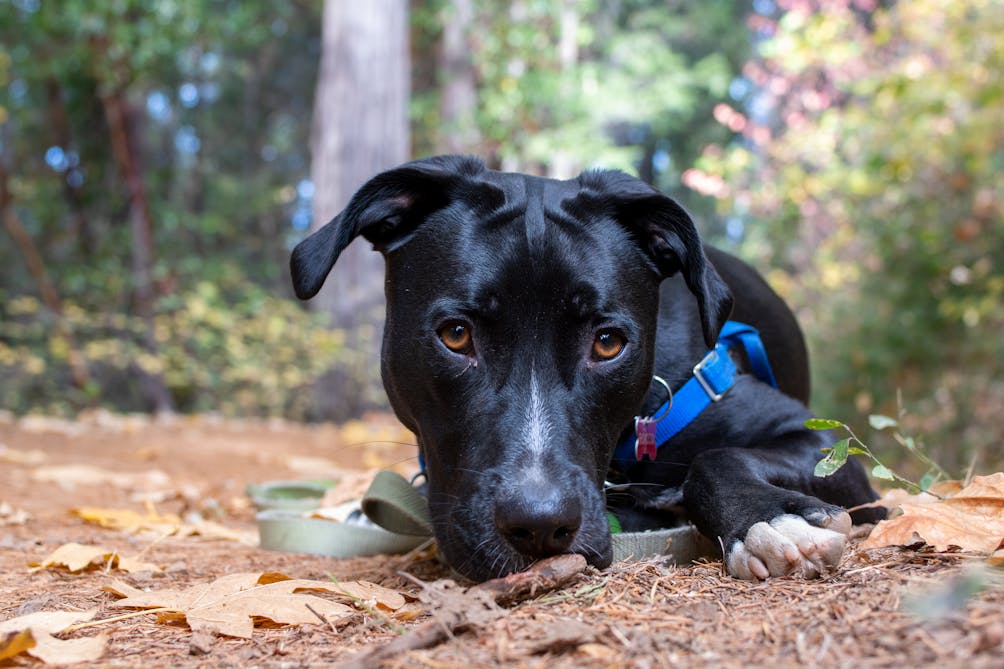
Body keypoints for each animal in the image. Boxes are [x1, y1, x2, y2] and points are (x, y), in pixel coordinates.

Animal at [289, 154, 879, 578]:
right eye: (456, 335)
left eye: (607, 343)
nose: (540, 526)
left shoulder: (816, 438)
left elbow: (717, 458)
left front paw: (769, 519)